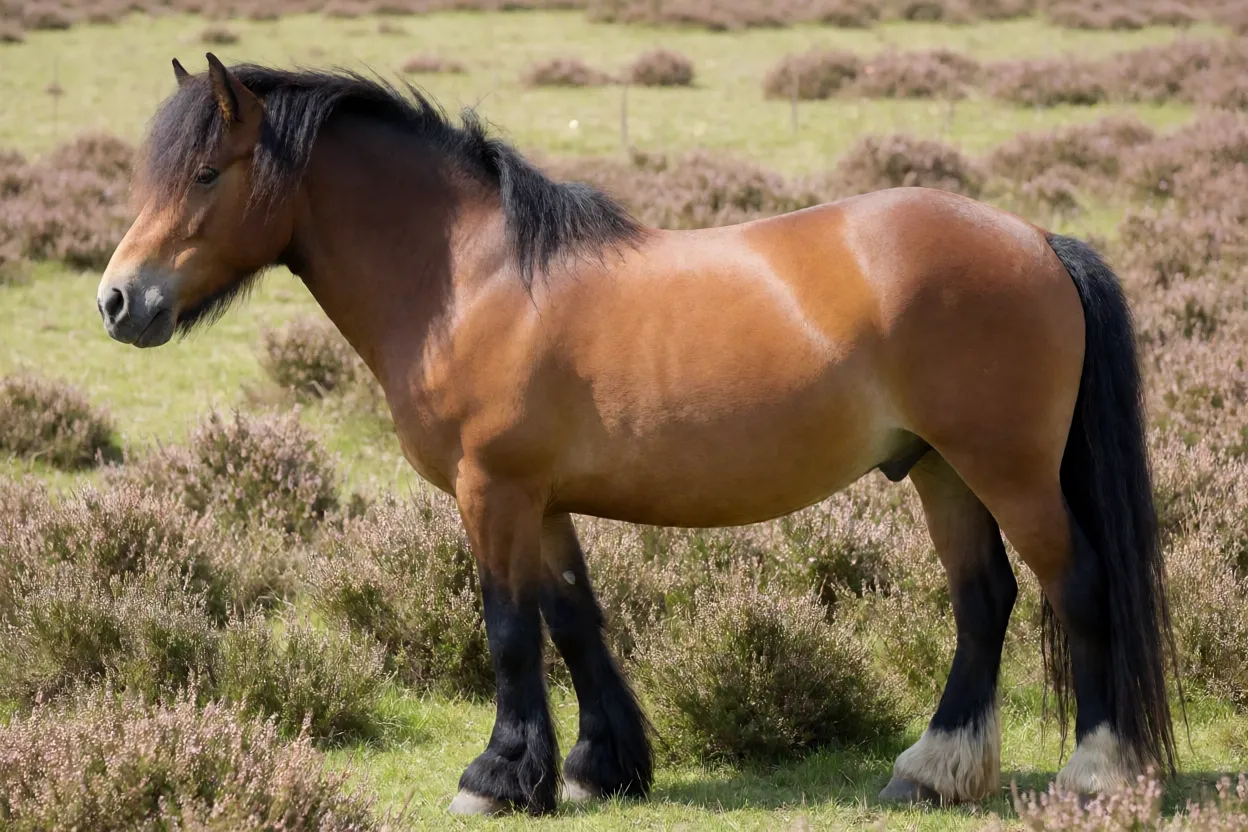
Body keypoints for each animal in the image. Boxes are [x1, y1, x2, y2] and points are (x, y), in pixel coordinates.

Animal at [96, 54, 1178, 815]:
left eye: (205, 172)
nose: (119, 301)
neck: (471, 278)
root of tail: (1037, 241)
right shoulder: (540, 500)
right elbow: (574, 619)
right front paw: (594, 765)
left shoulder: (491, 491)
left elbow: (508, 629)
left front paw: (498, 775)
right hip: (941, 470)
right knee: (983, 600)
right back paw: (931, 769)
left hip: (1008, 470)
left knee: (1077, 587)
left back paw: (1092, 773)